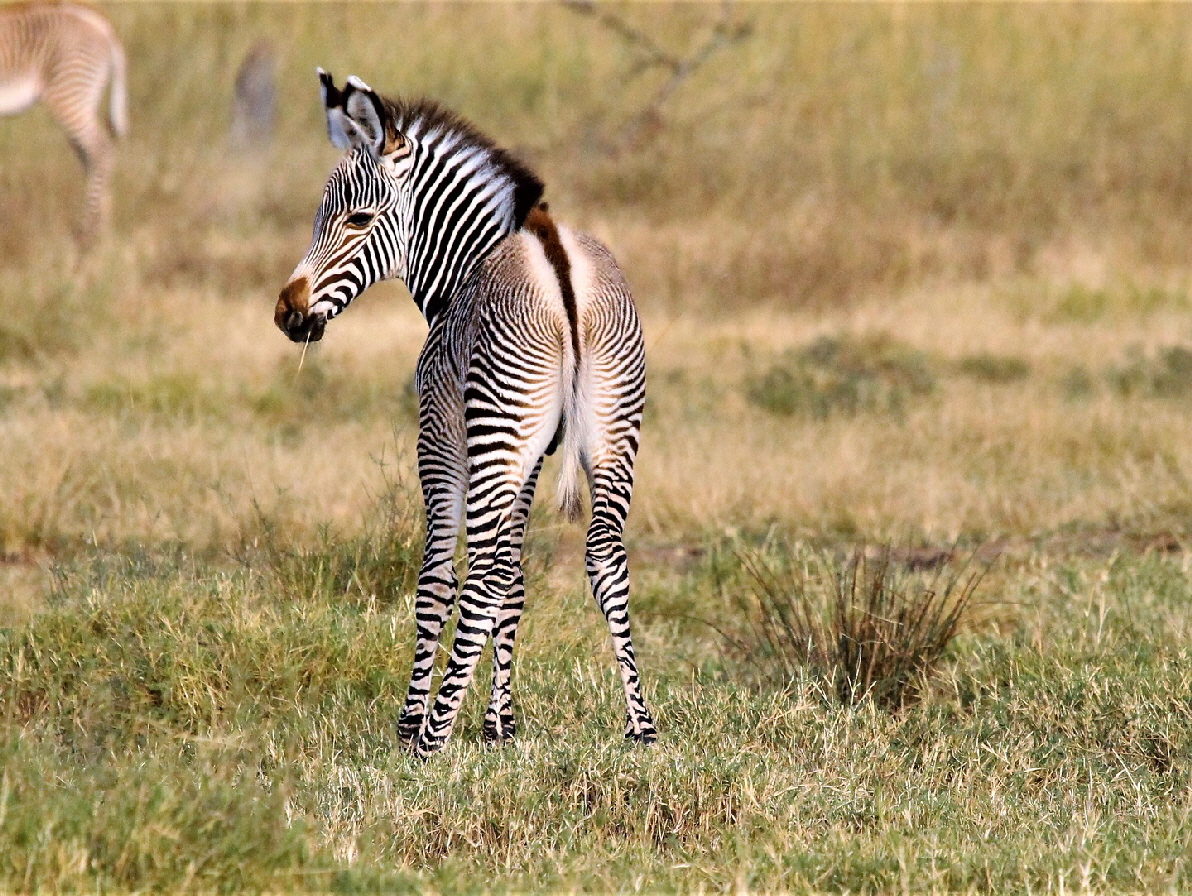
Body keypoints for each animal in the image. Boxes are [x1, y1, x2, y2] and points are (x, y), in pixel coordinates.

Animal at [0, 2, 127, 246]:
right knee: (93, 157)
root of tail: (97, 22)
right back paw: (104, 235)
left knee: (100, 150)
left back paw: (87, 234)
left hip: (69, 95)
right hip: (82, 100)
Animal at [275, 70, 657, 758]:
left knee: (477, 576)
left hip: (495, 440)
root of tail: (558, 262)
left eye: (357, 218)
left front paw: (415, 724)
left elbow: (438, 581)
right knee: (604, 561)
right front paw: (499, 725)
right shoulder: (533, 456)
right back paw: (641, 726)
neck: (469, 264)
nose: (286, 314)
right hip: (609, 430)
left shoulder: (442, 441)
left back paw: (431, 737)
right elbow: (516, 581)